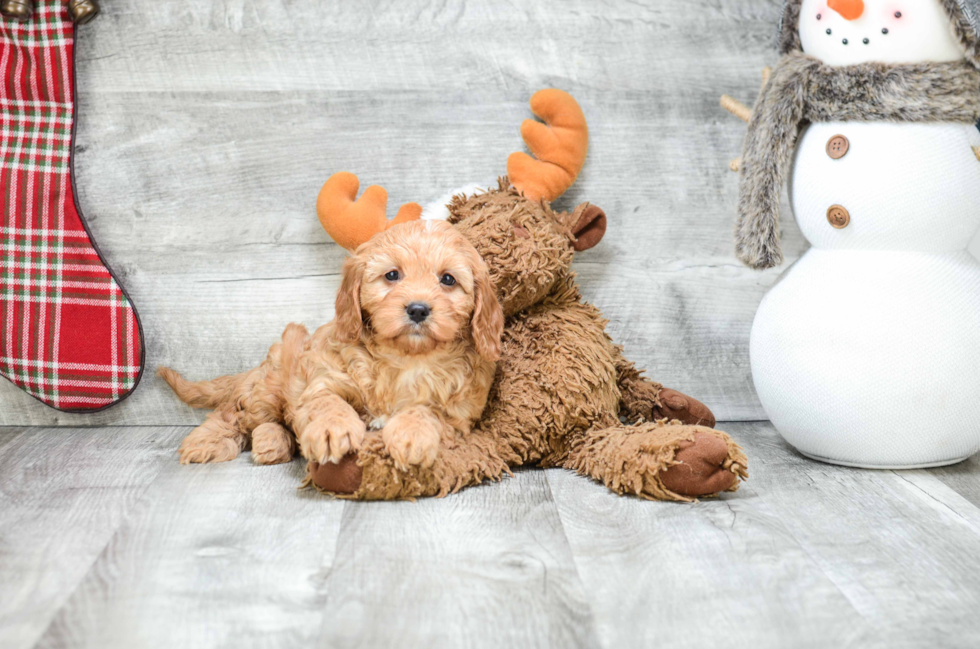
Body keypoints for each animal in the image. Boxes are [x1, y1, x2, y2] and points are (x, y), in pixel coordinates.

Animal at [159, 220, 506, 468]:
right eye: (392, 275)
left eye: (448, 279)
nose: (418, 309)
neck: (406, 359)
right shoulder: (323, 378)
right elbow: (326, 402)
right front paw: (331, 430)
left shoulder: (458, 415)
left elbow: (425, 411)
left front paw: (412, 433)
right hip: (268, 388)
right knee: (237, 414)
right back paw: (208, 442)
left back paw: (272, 444)